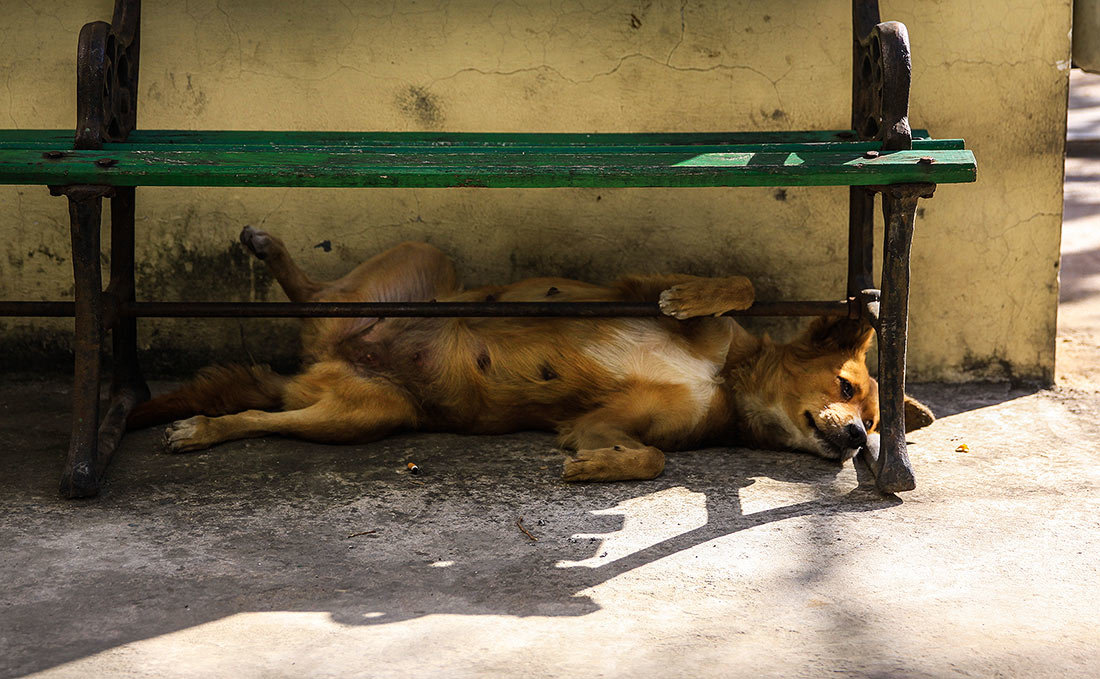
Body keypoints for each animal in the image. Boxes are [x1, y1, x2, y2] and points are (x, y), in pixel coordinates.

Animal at [130, 227, 937, 482]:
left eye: (874, 417)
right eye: (845, 386)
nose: (858, 438)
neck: (727, 378)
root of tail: (329, 349)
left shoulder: (606, 421)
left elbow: (650, 456)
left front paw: (597, 469)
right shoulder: (629, 289)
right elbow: (737, 282)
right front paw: (692, 296)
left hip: (365, 411)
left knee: (266, 408)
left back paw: (203, 425)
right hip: (418, 263)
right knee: (311, 298)